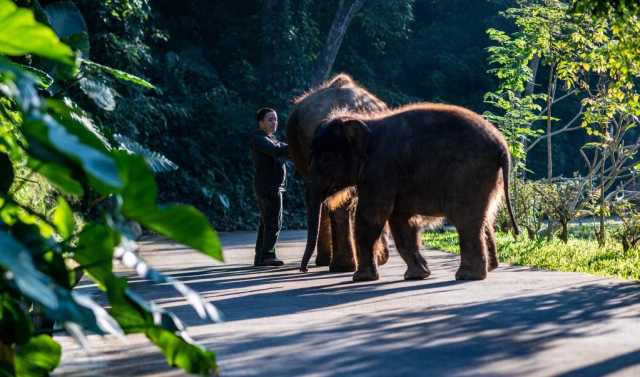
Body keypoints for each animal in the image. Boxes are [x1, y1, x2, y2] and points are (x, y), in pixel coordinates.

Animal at [302, 102, 520, 280]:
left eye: (325, 160)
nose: (304, 269)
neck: (366, 123)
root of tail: (502, 145)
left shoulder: (380, 171)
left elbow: (370, 217)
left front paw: (361, 278)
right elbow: (401, 221)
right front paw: (418, 275)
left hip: (469, 175)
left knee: (465, 220)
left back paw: (467, 276)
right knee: (482, 219)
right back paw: (486, 269)